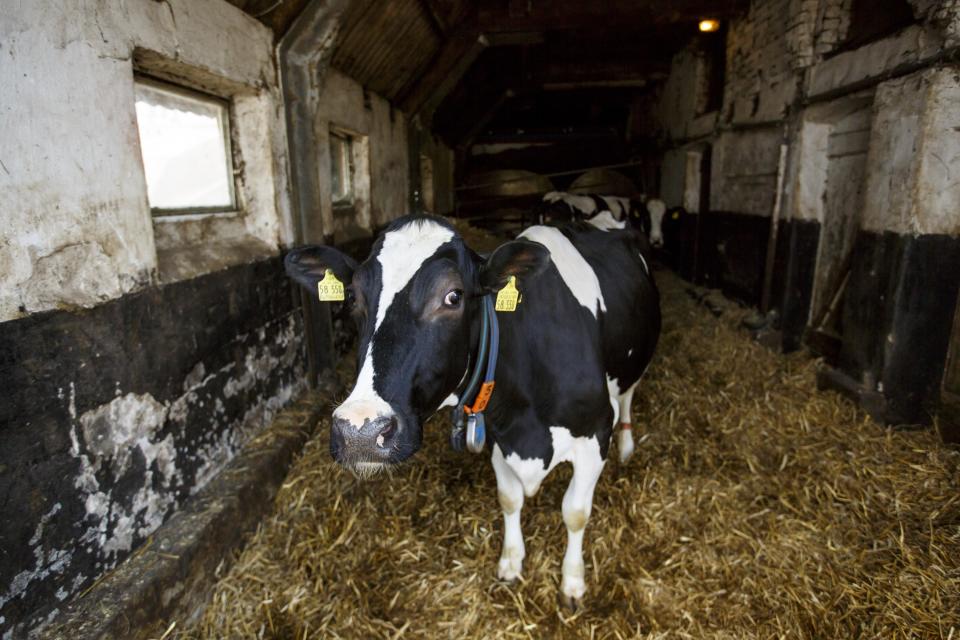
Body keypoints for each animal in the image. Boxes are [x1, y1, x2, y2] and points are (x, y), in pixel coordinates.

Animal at [284, 214, 660, 604]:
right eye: (354, 296)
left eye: (453, 296)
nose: (360, 429)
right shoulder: (497, 432)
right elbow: (509, 499)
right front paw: (511, 562)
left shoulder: (595, 431)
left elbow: (575, 513)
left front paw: (572, 581)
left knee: (628, 397)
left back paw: (627, 445)